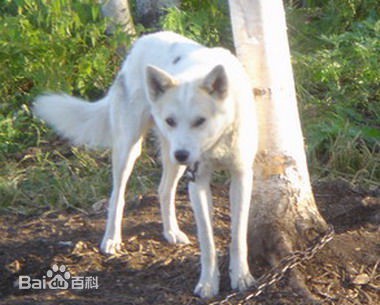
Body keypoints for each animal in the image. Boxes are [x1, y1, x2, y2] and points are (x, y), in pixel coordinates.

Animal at [34, 31, 256, 296]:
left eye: (200, 121)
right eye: (171, 120)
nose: (182, 153)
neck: (216, 142)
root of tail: (144, 40)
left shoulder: (241, 176)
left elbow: (239, 235)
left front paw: (241, 276)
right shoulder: (198, 181)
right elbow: (207, 240)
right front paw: (208, 283)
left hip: (171, 159)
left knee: (163, 190)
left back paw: (171, 232)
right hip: (131, 150)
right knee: (117, 196)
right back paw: (112, 239)